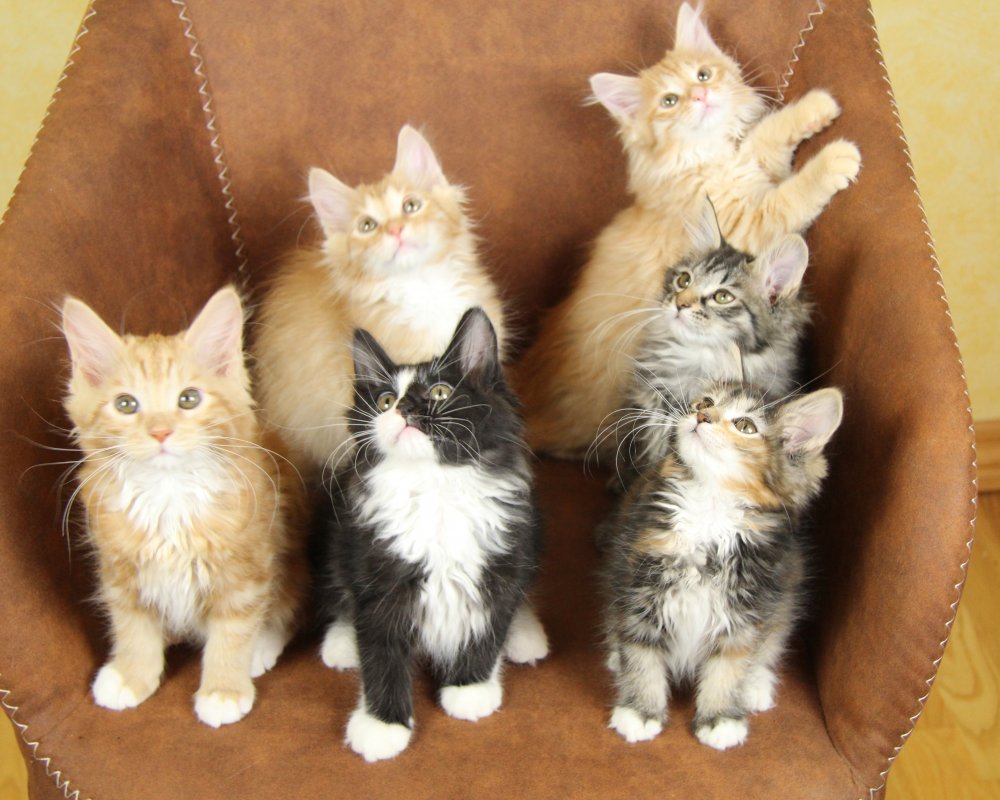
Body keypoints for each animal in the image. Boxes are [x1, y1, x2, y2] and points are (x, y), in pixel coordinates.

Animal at [61, 286, 306, 728]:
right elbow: (131, 625)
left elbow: (233, 630)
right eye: (126, 404)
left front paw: (224, 689)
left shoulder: (245, 570)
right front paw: (132, 674)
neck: (167, 495)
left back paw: (261, 647)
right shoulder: (120, 570)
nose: (161, 432)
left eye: (188, 399)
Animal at [313, 308, 547, 762]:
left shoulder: (503, 556)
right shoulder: (378, 574)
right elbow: (380, 652)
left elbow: (489, 624)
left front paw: (470, 687)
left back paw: (525, 634)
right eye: (385, 402)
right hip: (338, 539)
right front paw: (382, 724)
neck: (435, 488)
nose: (404, 408)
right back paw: (342, 641)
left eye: (439, 392)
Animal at [600, 379, 843, 750]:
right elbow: (641, 653)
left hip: (784, 599)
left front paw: (720, 718)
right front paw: (640, 711)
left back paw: (755, 685)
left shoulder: (746, 609)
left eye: (745, 426)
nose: (701, 416)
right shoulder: (640, 584)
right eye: (706, 402)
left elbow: (730, 667)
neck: (709, 510)